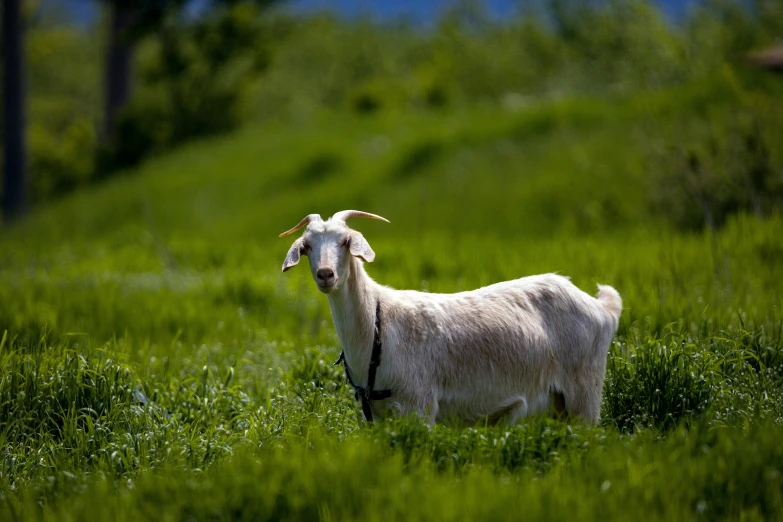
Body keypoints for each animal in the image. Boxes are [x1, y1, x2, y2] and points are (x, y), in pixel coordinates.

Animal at [278, 209, 620, 424]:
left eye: (345, 241)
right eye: (307, 246)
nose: (326, 274)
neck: (378, 322)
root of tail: (602, 307)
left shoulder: (419, 405)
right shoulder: (374, 415)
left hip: (585, 391)